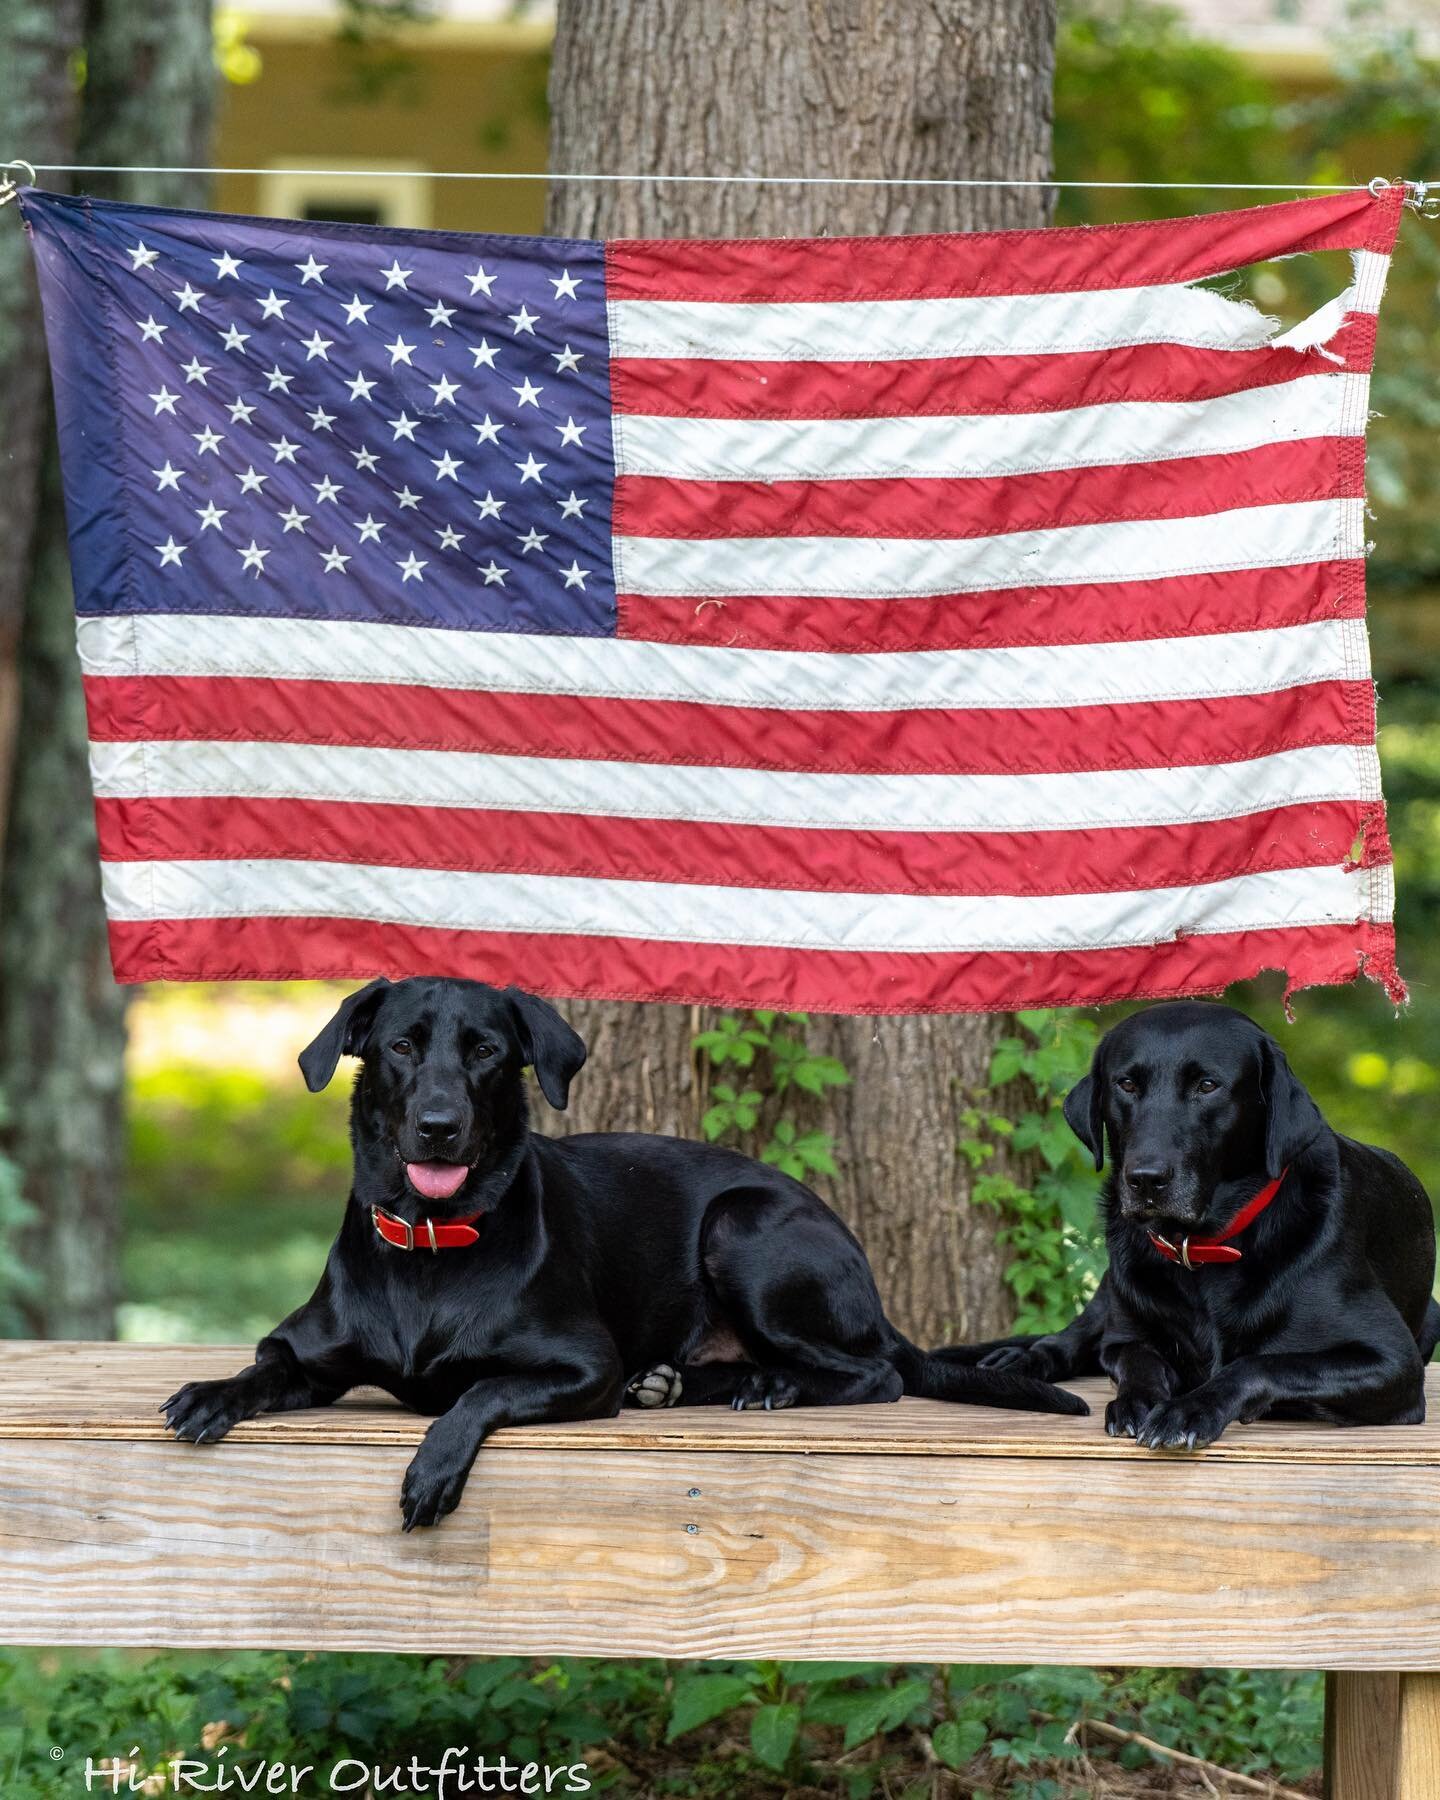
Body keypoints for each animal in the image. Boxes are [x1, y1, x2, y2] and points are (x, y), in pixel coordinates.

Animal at [162, 979, 1087, 1526]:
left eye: (486, 1051)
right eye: (399, 1046)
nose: (438, 1125)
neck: (431, 1245)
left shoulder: (581, 1367)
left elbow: (479, 1391)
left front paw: (433, 1470)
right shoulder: (307, 1352)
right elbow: (262, 1365)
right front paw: (212, 1394)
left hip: (742, 1228)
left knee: (876, 1373)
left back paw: (775, 1385)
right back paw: (685, 1384)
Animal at [943, 1000, 1440, 1447]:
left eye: (1207, 1085)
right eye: (1126, 1084)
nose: (1145, 1179)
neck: (1200, 1246)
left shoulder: (1392, 1360)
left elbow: (1261, 1362)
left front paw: (1188, 1409)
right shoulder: (1126, 1336)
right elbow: (1136, 1359)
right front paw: (1136, 1401)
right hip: (1112, 1286)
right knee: (1070, 1338)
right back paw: (1018, 1361)